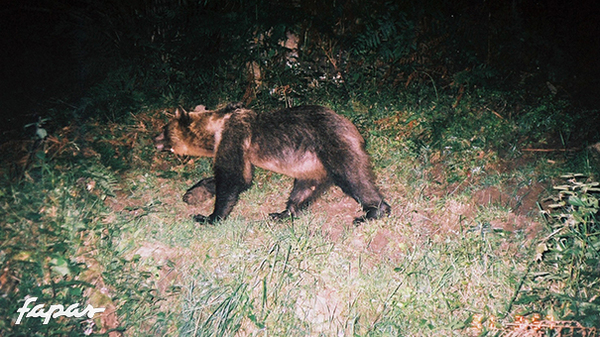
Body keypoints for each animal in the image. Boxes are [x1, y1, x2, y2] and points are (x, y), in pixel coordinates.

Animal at [152, 102, 392, 223]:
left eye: (164, 129)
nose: (154, 139)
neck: (214, 132)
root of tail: (351, 127)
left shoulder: (233, 138)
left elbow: (233, 177)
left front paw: (209, 217)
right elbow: (238, 176)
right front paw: (193, 193)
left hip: (332, 144)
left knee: (353, 177)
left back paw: (373, 212)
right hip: (312, 164)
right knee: (304, 188)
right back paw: (284, 213)